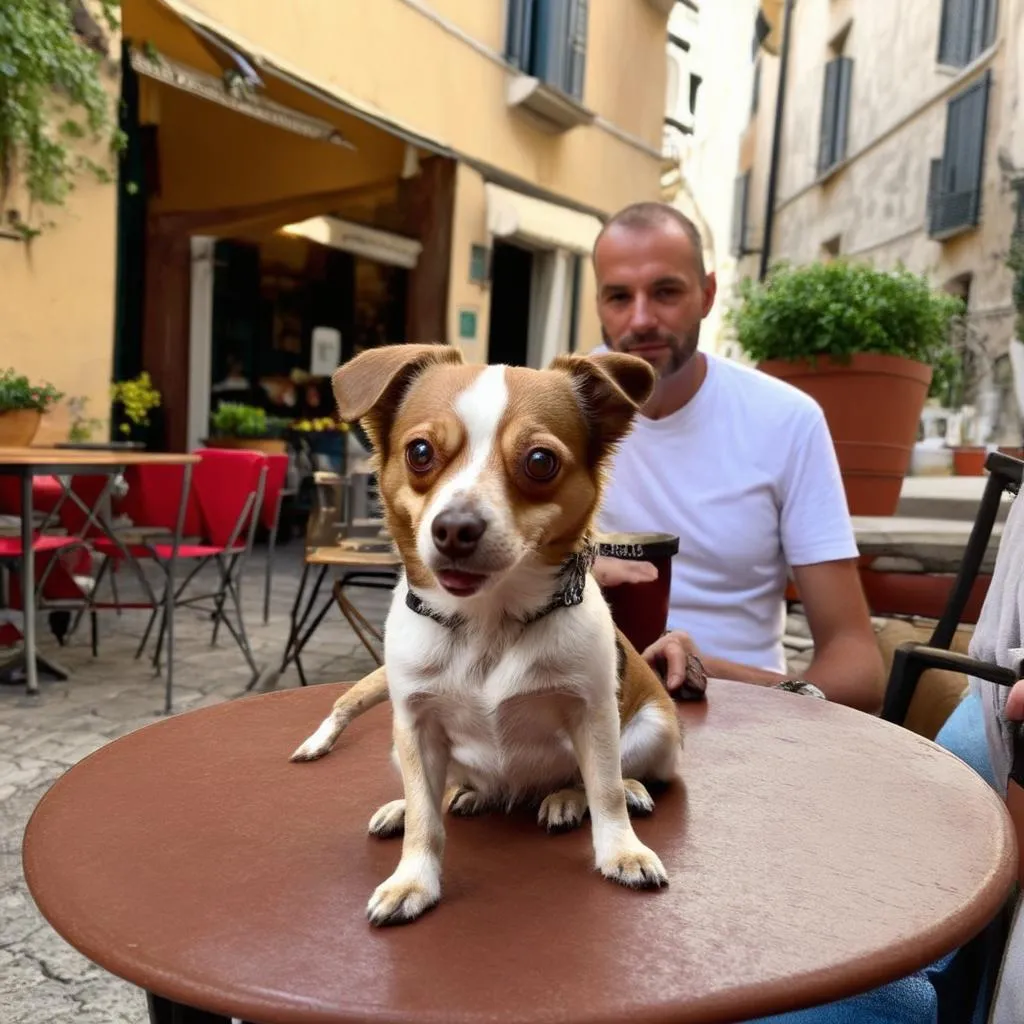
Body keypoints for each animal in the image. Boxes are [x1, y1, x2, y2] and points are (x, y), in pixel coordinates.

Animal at [292, 344, 684, 929]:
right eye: (420, 453)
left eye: (540, 462)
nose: (455, 527)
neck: (487, 623)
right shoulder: (416, 727)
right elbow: (426, 821)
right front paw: (414, 878)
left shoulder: (593, 716)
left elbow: (606, 790)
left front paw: (622, 850)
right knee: (445, 789)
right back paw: (433, 799)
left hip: (656, 730)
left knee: (603, 778)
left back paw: (578, 796)